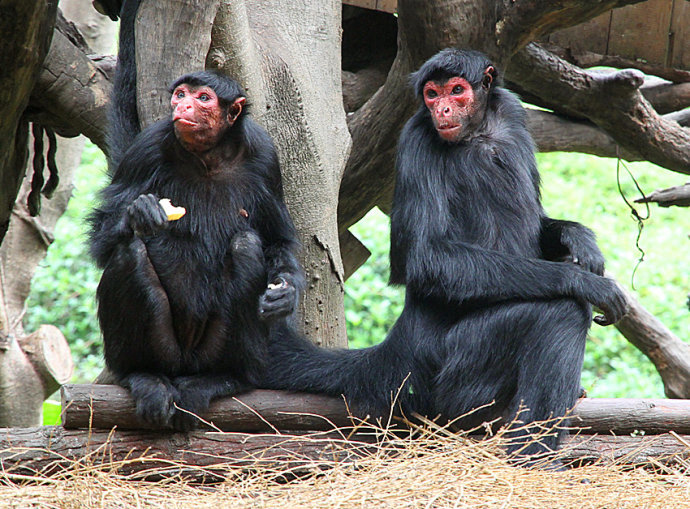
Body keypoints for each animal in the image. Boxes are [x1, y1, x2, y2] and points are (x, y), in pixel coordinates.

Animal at [87, 0, 302, 428]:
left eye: (203, 98)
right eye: (181, 93)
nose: (182, 105)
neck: (208, 158)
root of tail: (186, 362)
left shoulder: (265, 155)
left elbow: (277, 240)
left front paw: (285, 293)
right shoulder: (147, 146)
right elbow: (103, 237)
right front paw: (139, 213)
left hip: (213, 348)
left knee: (246, 243)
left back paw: (226, 378)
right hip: (162, 348)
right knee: (130, 253)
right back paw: (143, 375)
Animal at [264, 49, 628, 462]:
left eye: (456, 90)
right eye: (432, 94)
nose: (443, 110)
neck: (480, 133)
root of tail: (398, 349)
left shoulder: (513, 113)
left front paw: (580, 240)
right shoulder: (416, 138)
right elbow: (427, 259)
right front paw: (586, 282)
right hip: (453, 373)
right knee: (560, 312)